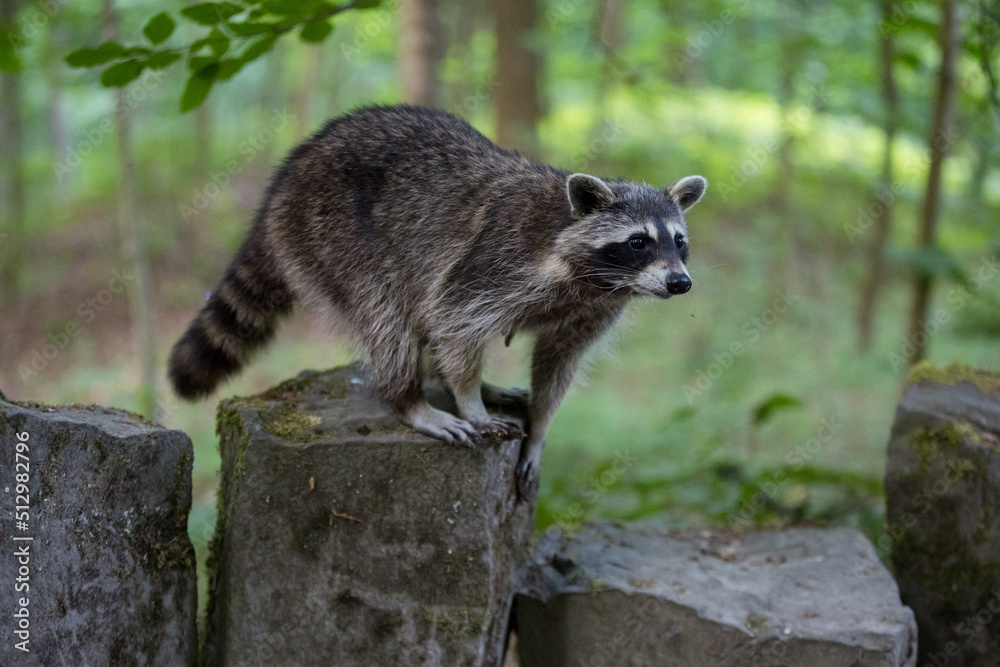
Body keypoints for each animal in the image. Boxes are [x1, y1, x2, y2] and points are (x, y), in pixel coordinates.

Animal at [168, 104, 708, 498]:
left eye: (679, 241)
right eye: (638, 242)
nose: (680, 283)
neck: (589, 271)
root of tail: (283, 181)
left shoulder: (592, 307)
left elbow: (558, 361)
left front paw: (538, 430)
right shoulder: (496, 264)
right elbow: (455, 322)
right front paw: (469, 400)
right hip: (331, 233)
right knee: (388, 313)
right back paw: (409, 398)